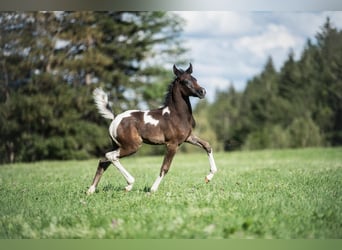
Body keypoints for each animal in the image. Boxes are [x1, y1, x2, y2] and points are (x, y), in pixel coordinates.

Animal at [87, 63, 218, 194]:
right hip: (132, 146)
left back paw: (91, 190)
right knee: (110, 156)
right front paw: (152, 190)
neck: (176, 115)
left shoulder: (188, 138)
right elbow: (165, 167)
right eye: (185, 81)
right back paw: (129, 184)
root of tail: (115, 118)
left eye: (195, 79)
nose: (202, 92)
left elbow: (207, 146)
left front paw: (209, 177)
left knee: (103, 161)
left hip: (117, 145)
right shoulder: (172, 144)